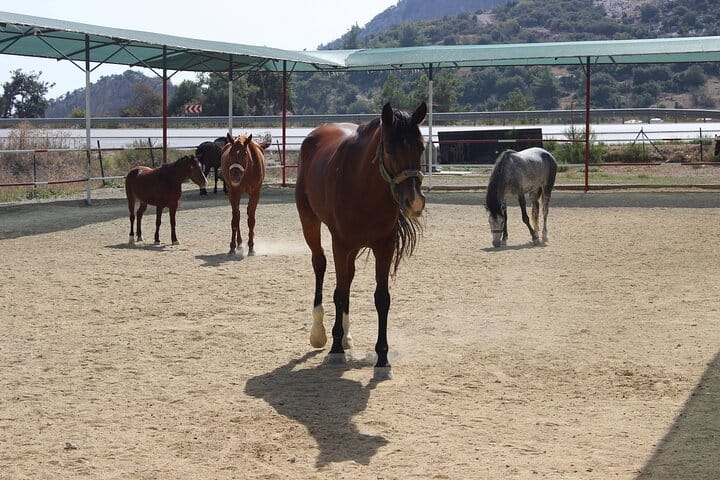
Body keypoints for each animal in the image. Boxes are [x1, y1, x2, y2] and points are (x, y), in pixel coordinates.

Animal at [295, 102, 427, 380]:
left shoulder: (384, 247)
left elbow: (381, 299)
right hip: (310, 222)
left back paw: (346, 335)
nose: (414, 202)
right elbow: (339, 293)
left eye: (421, 147)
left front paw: (382, 360)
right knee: (320, 265)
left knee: (349, 277)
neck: (363, 187)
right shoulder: (340, 244)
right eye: (389, 148)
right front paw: (335, 349)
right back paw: (319, 333)